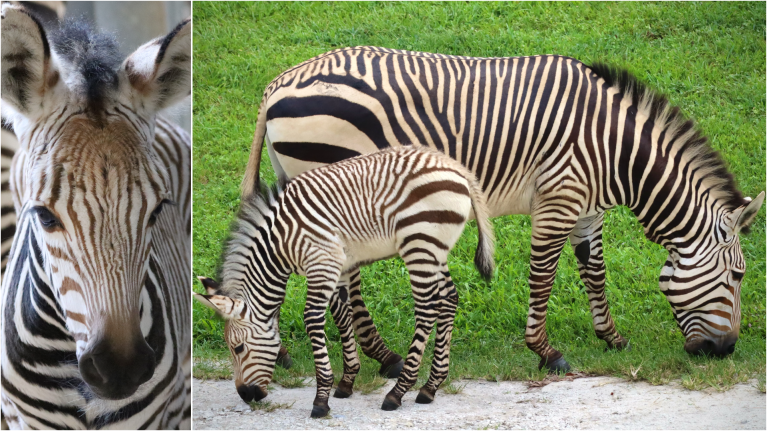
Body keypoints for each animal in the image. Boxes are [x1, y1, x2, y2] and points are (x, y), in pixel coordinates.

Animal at [195, 146, 495, 416]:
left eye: (238, 348)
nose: (246, 395)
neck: (280, 244)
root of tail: (457, 168)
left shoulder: (322, 262)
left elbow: (313, 318)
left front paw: (321, 398)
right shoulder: (338, 266)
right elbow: (342, 314)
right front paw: (347, 381)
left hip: (419, 245)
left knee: (427, 308)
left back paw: (398, 392)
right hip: (435, 250)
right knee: (449, 297)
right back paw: (430, 386)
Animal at [239, 46, 764, 373]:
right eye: (738, 276)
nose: (726, 352)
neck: (614, 150)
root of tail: (277, 84)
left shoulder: (587, 209)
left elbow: (594, 271)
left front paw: (611, 338)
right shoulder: (558, 199)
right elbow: (544, 275)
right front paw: (547, 352)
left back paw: (284, 351)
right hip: (334, 183)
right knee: (344, 282)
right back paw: (385, 357)